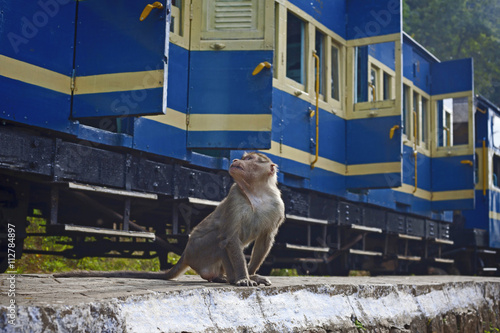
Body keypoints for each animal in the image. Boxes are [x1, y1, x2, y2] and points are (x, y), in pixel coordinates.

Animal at [54, 152, 286, 286]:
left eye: (249, 159)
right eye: (243, 157)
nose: (236, 160)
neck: (256, 192)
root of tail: (185, 254)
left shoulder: (278, 205)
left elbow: (265, 240)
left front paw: (252, 274)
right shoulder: (236, 196)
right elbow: (230, 238)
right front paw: (243, 278)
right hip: (199, 250)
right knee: (220, 239)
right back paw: (229, 278)